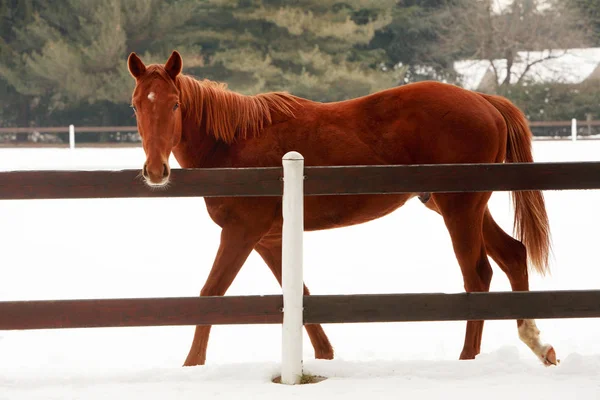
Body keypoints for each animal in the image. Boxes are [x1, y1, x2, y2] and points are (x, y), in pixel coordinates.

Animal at [126, 50, 556, 368]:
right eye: (136, 106)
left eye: (175, 105)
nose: (155, 170)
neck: (234, 144)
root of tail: (484, 100)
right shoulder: (269, 239)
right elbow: (299, 291)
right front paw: (325, 355)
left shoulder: (241, 233)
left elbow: (211, 292)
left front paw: (192, 364)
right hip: (463, 207)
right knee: (512, 255)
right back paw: (536, 342)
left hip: (460, 208)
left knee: (477, 274)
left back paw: (468, 358)